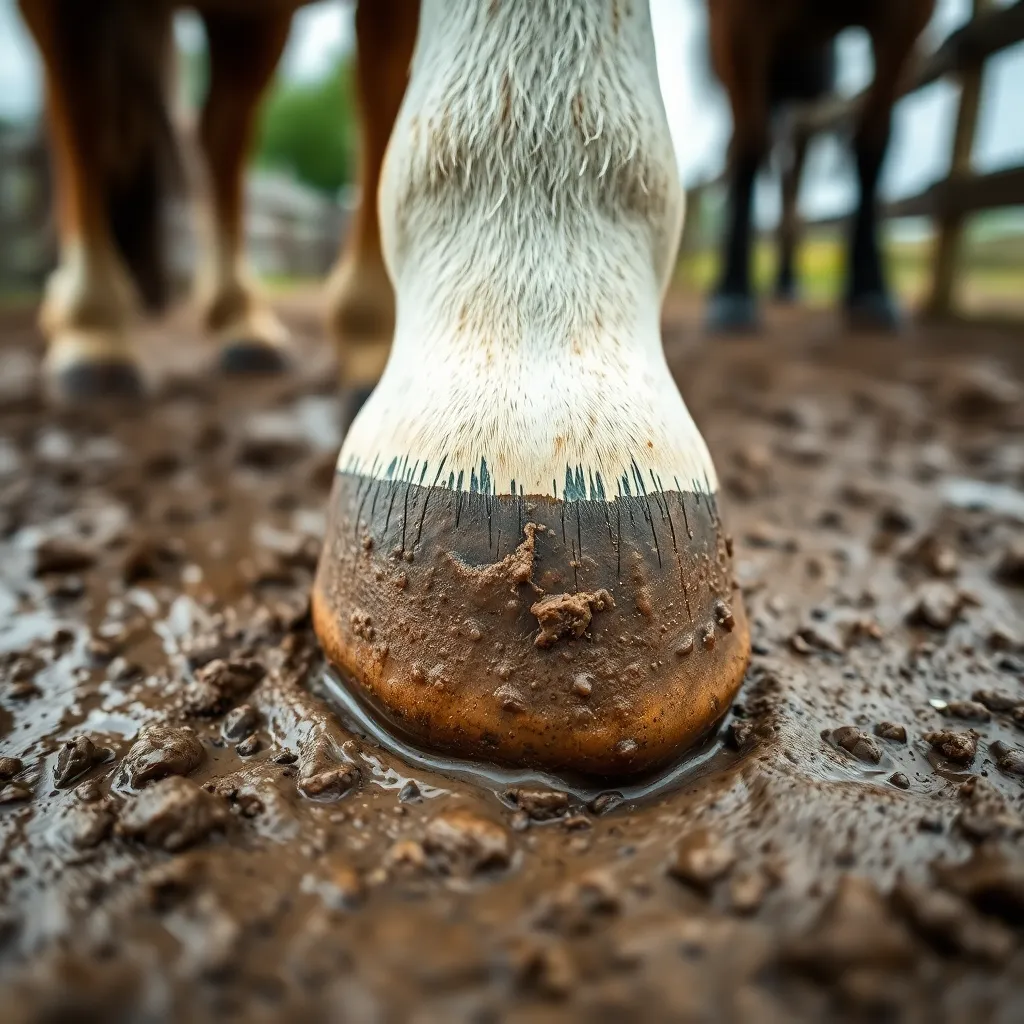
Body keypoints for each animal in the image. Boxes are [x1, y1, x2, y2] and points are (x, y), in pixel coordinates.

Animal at [705, 0, 935, 332]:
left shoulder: (908, 18)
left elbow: (872, 145)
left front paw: (870, 287)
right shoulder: (736, 18)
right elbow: (750, 148)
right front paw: (733, 289)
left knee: (791, 180)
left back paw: (786, 279)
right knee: (744, 148)